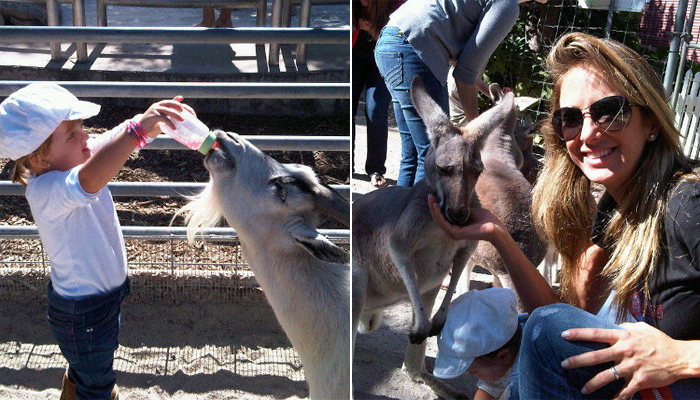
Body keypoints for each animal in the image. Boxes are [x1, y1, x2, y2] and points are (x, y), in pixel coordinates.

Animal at [352, 76, 516, 400]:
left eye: (477, 171)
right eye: (443, 169)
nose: (459, 215)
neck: (442, 228)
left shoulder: (466, 245)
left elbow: (456, 275)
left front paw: (438, 321)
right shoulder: (399, 238)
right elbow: (401, 258)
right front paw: (422, 326)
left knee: (413, 368)